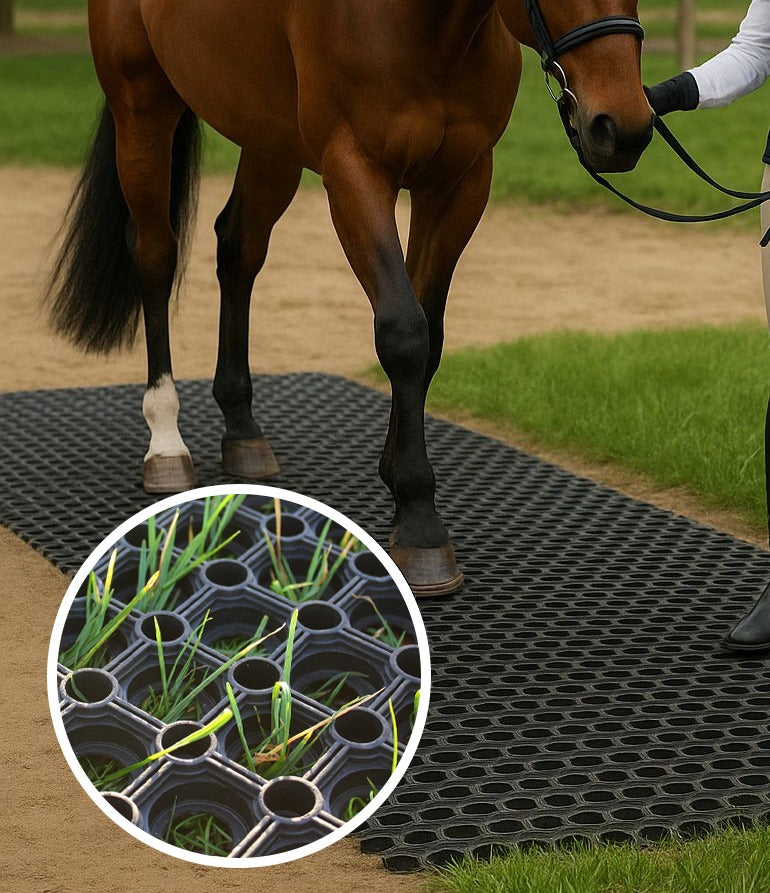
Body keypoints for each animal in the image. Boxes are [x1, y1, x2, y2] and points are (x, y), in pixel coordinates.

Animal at [46, 0, 652, 597]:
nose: (623, 128)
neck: (422, 27)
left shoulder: (460, 181)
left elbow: (429, 337)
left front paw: (399, 486)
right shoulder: (353, 171)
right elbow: (403, 331)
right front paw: (421, 525)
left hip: (269, 141)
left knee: (238, 250)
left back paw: (243, 430)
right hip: (143, 109)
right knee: (155, 258)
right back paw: (166, 441)